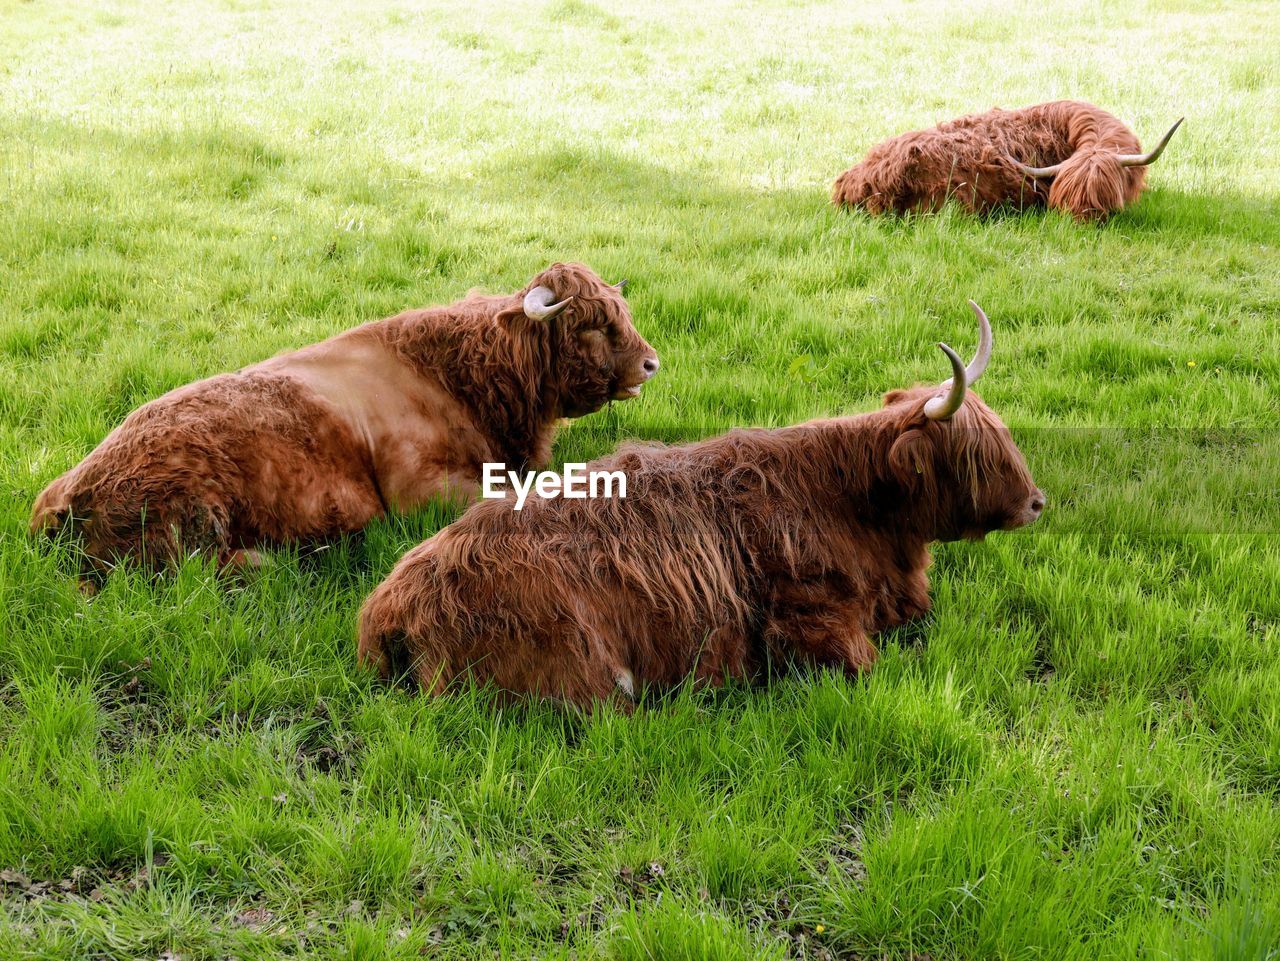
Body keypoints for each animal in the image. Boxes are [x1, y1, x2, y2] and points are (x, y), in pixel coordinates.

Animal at [355, 304, 1044, 711]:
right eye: (975, 454)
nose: (1037, 503)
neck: (852, 505)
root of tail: (389, 606)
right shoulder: (812, 626)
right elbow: (869, 662)